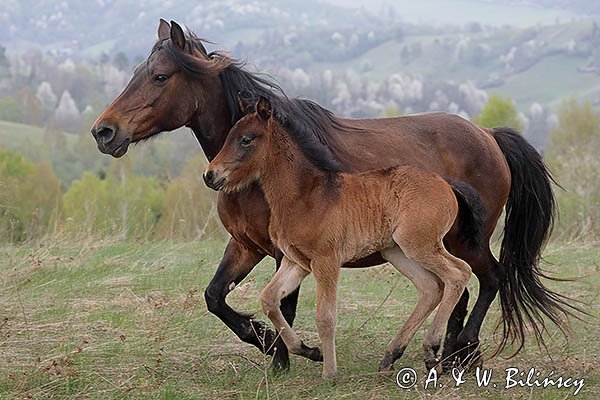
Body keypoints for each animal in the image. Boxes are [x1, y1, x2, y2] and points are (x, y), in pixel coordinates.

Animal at [204, 97, 486, 378]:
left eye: (246, 140)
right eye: (229, 136)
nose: (210, 175)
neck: (306, 195)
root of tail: (447, 184)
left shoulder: (326, 261)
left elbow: (325, 316)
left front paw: (329, 372)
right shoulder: (295, 261)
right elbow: (269, 299)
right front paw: (309, 351)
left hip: (420, 245)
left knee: (458, 273)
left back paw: (431, 349)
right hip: (397, 252)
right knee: (430, 287)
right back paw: (392, 357)